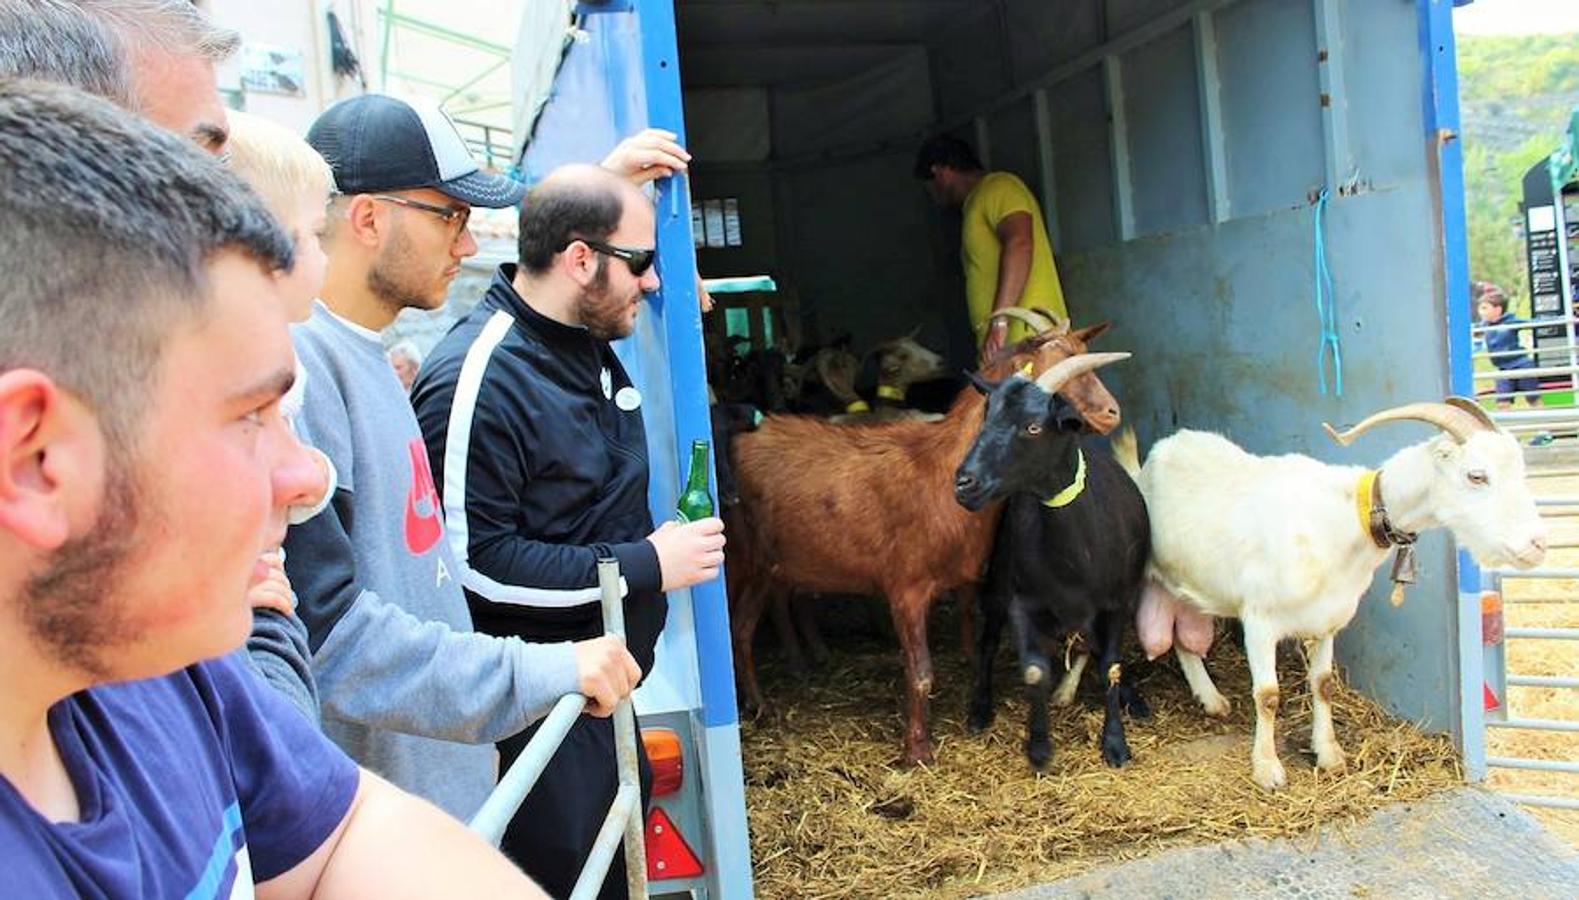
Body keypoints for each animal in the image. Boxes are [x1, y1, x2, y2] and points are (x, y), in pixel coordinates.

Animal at [726, 323, 1124, 764]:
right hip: (736, 562)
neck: (939, 470)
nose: (1112, 414)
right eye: (1062, 372)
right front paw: (917, 750)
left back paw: (762, 703)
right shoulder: (906, 588)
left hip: (767, 568)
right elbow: (920, 673)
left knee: (741, 630)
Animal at [953, 364, 1155, 764]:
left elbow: (1111, 667)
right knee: (988, 643)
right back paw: (981, 708)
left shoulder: (1118, 601)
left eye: (1033, 427)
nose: (965, 483)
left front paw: (1115, 743)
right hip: (998, 582)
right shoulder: (1021, 601)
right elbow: (1034, 671)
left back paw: (1134, 699)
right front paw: (1039, 746)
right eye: (986, 416)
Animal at [1130, 397, 1547, 783]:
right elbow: (1267, 696)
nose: (1537, 544)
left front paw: (1329, 753)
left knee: (1183, 638)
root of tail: (1159, 453)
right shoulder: (1260, 620)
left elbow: (1324, 685)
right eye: (1477, 476)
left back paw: (1210, 698)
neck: (1348, 520)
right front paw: (1267, 769)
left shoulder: (1328, 620)